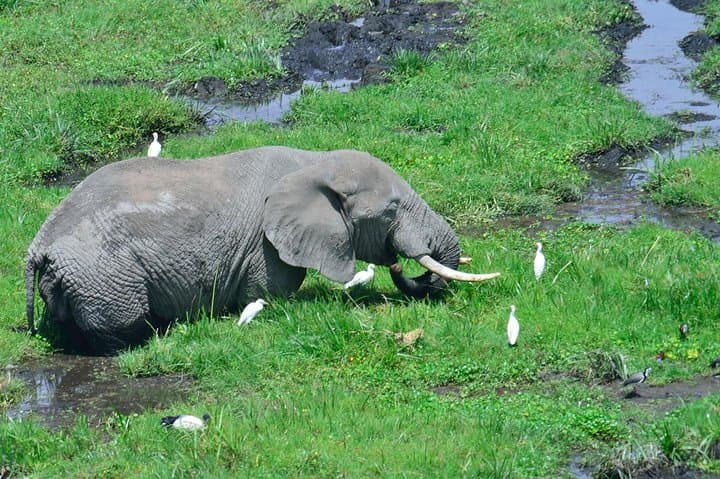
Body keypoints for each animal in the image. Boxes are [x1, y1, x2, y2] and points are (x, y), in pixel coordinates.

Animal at [25, 146, 499, 354]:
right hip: (105, 273)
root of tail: (38, 246)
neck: (315, 162)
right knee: (123, 328)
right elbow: (274, 292)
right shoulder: (266, 246)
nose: (399, 266)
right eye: (392, 210)